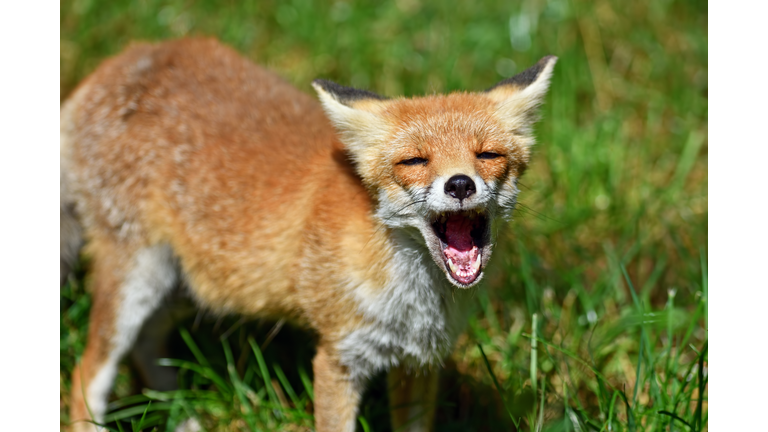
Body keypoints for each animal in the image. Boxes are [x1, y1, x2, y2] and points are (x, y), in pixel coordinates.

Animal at [60, 38, 556, 432]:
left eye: (487, 155)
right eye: (415, 161)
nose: (460, 185)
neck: (416, 302)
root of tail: (128, 57)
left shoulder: (418, 363)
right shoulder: (339, 356)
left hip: (189, 285)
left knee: (147, 351)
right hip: (134, 281)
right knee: (86, 377)